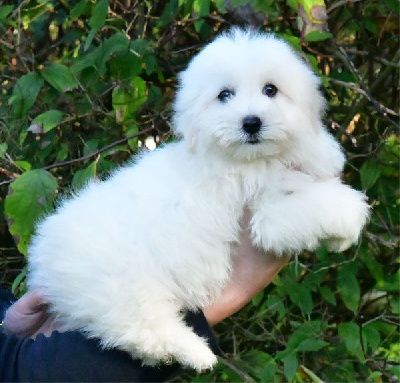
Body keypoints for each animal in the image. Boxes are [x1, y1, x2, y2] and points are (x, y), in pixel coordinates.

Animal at [26, 29, 368, 372]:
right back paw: (196, 352)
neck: (251, 159)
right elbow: (322, 205)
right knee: (140, 328)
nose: (251, 122)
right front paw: (348, 224)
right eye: (224, 95)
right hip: (121, 285)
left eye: (270, 89)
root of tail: (44, 261)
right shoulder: (268, 215)